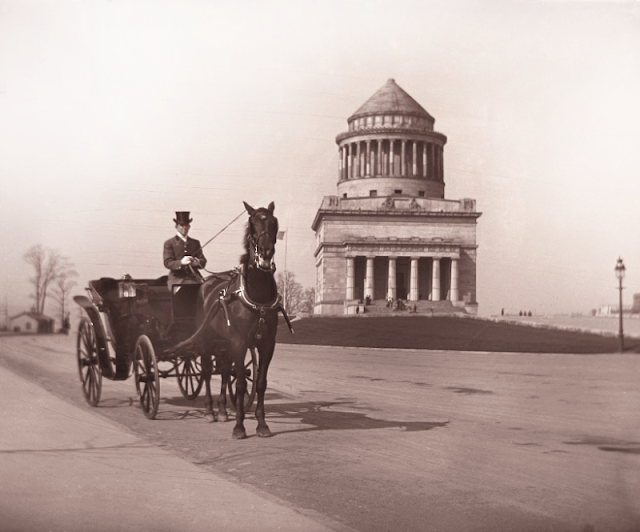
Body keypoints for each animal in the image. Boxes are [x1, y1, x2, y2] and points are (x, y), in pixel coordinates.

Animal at [195, 201, 281, 439]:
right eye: (252, 224)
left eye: (274, 222)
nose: (266, 252)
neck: (258, 294)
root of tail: (206, 282)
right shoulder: (240, 342)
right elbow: (242, 384)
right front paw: (239, 426)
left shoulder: (267, 344)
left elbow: (260, 383)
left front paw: (262, 424)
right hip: (207, 341)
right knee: (207, 371)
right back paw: (209, 411)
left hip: (224, 344)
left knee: (225, 371)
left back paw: (223, 410)